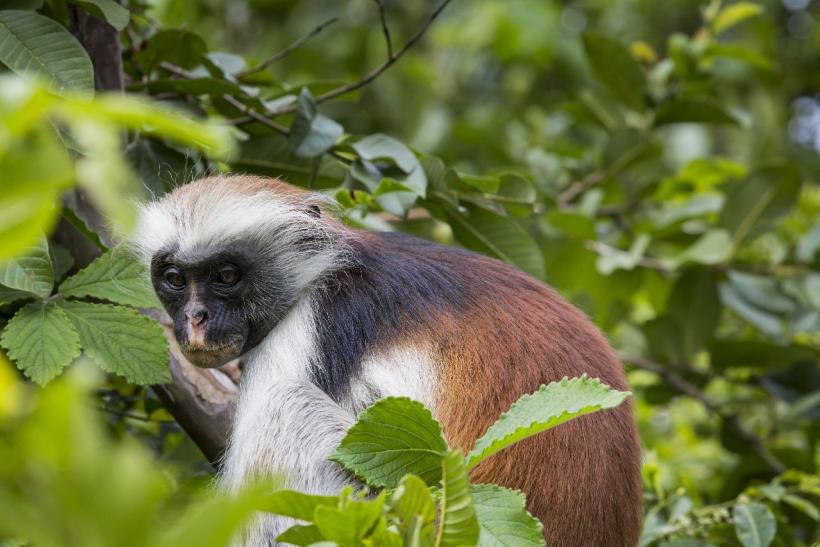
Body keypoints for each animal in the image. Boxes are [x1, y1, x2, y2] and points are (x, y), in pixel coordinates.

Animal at [135, 177, 644, 547]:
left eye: (226, 276)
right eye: (175, 279)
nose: (195, 320)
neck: (331, 272)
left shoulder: (307, 329)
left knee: (285, 406)